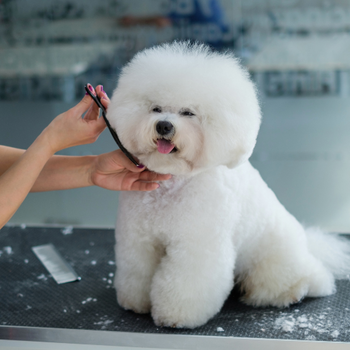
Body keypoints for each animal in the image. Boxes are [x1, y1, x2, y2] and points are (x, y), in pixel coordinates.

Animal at [108, 41, 350, 328]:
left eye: (188, 113)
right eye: (155, 108)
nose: (164, 125)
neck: (173, 184)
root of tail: (308, 247)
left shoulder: (197, 244)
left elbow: (187, 282)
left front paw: (176, 316)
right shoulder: (139, 240)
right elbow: (138, 271)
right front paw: (136, 303)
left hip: (274, 260)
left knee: (299, 279)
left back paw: (288, 291)